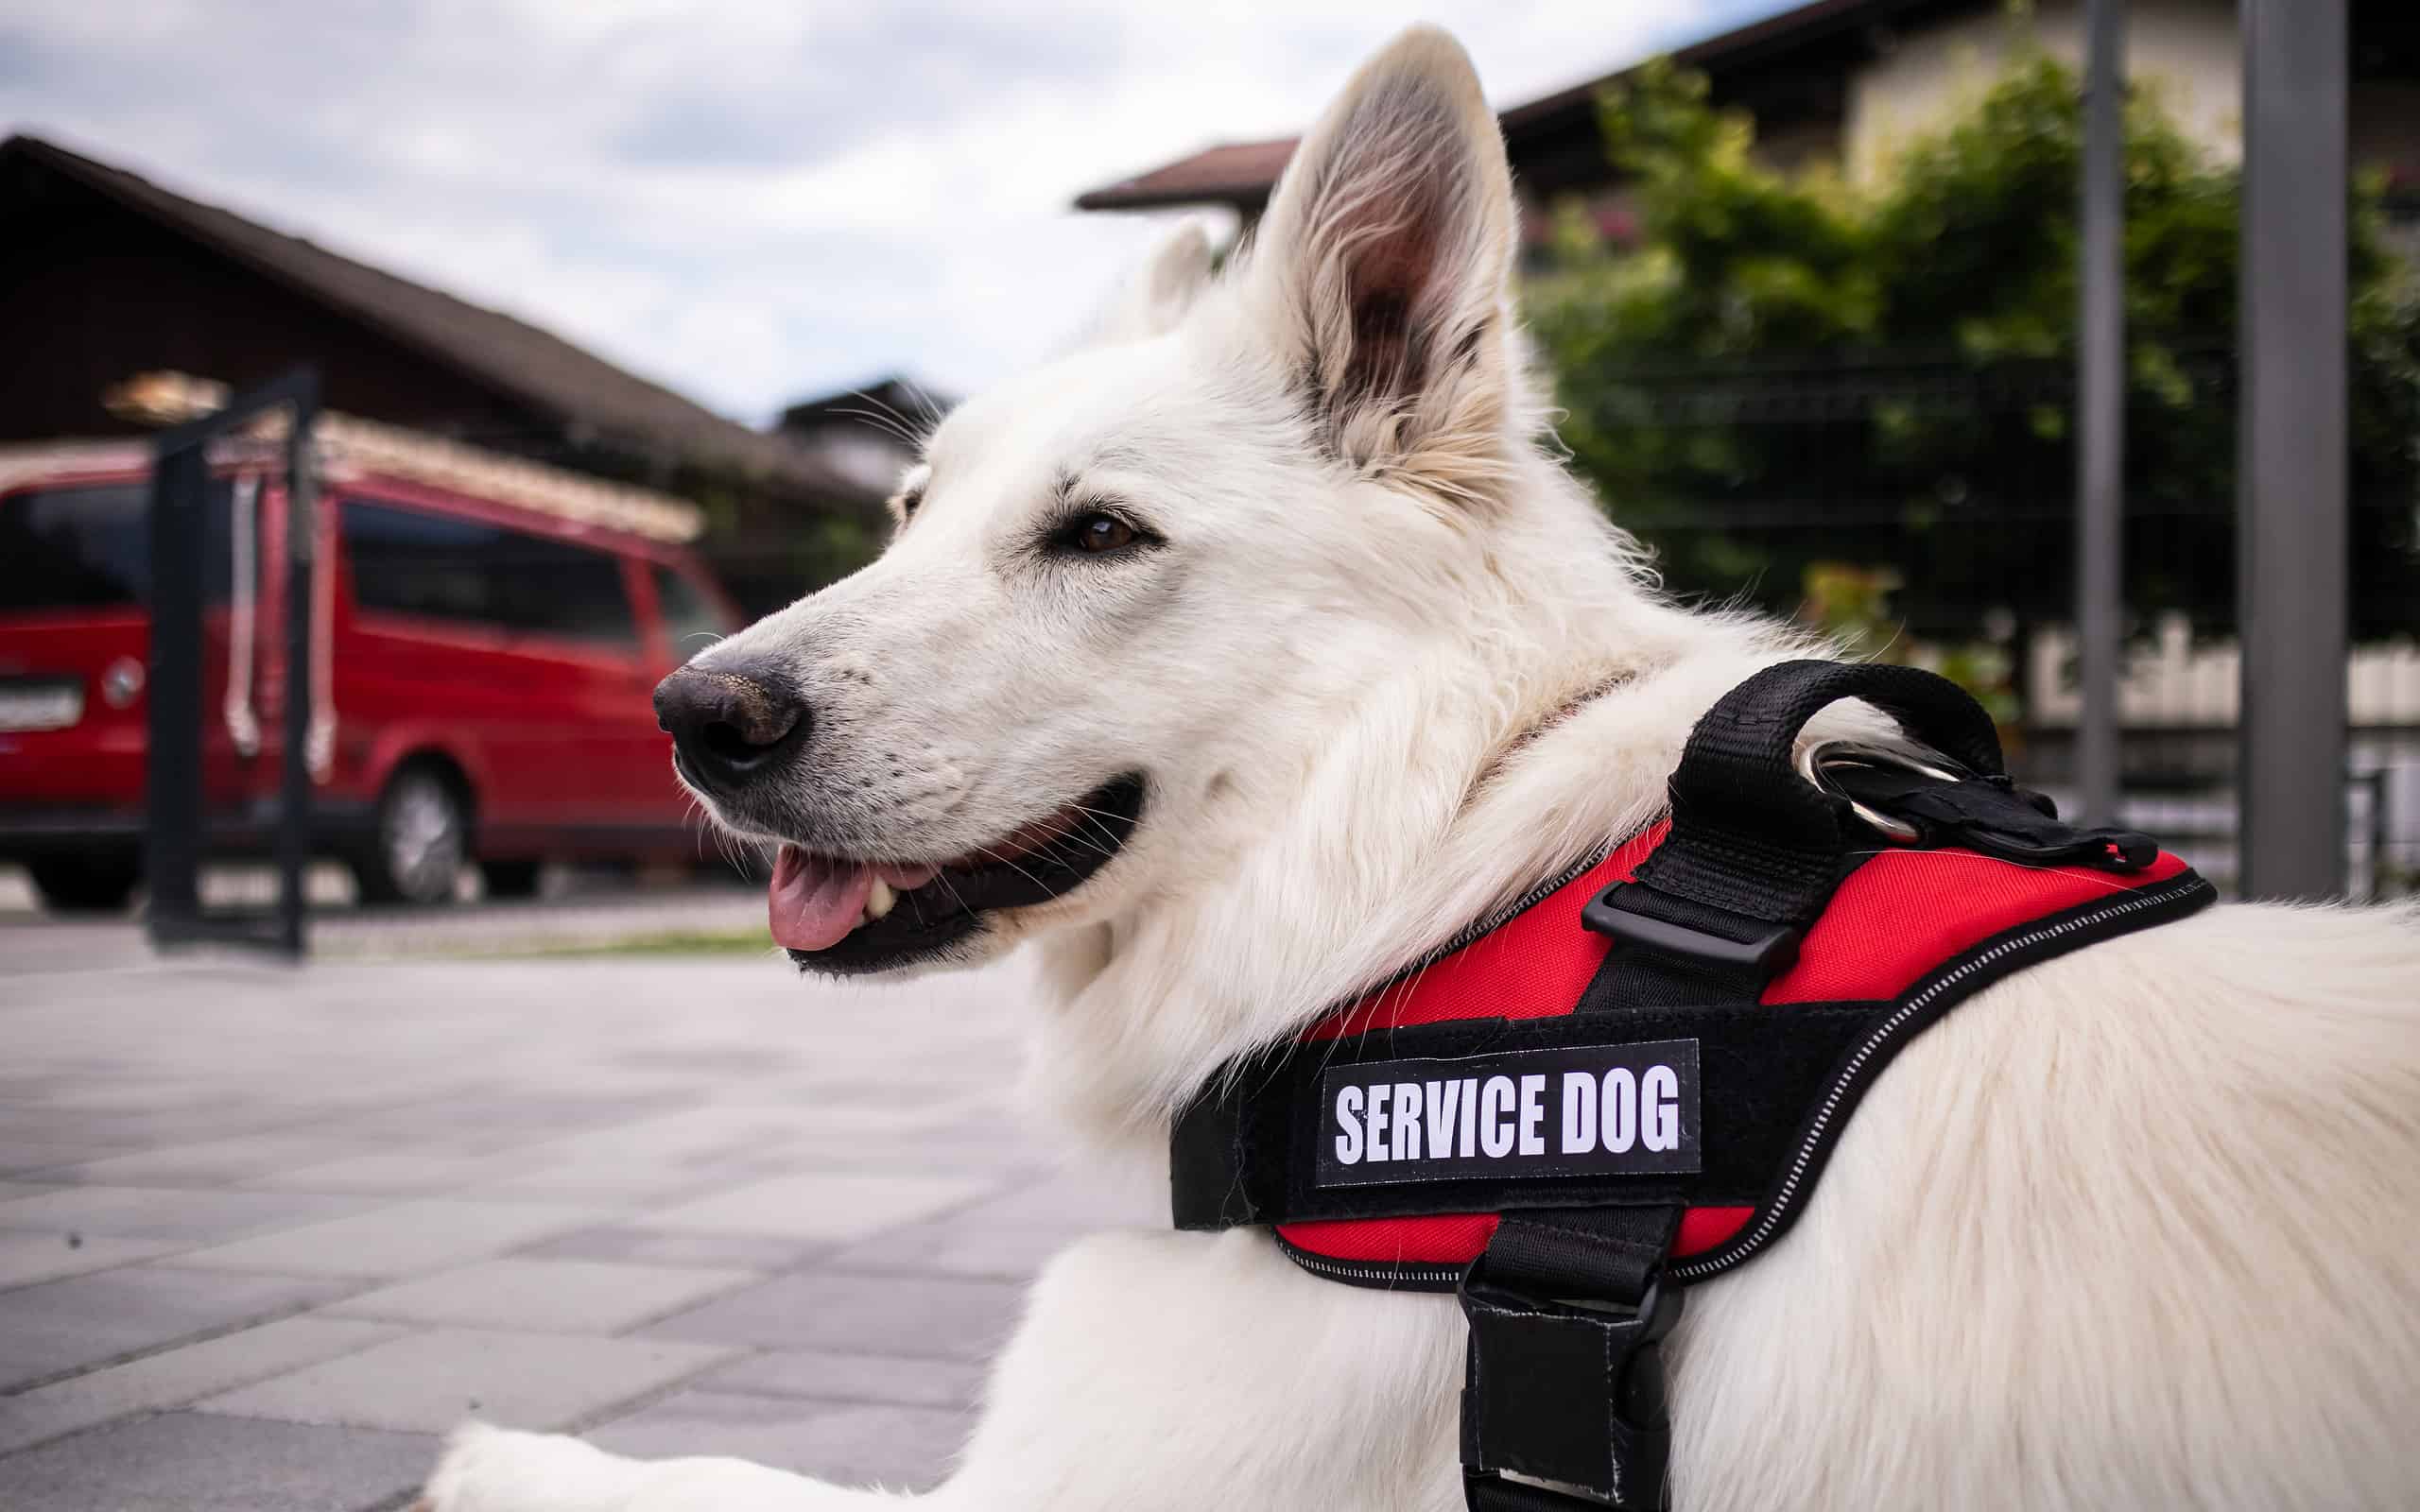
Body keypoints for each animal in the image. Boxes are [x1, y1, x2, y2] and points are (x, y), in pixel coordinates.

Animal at [425, 23, 2420, 1509]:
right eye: (913, 514)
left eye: (1097, 535)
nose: (697, 713)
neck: (1438, 843)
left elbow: (675, 1473)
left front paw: (500, 1453)